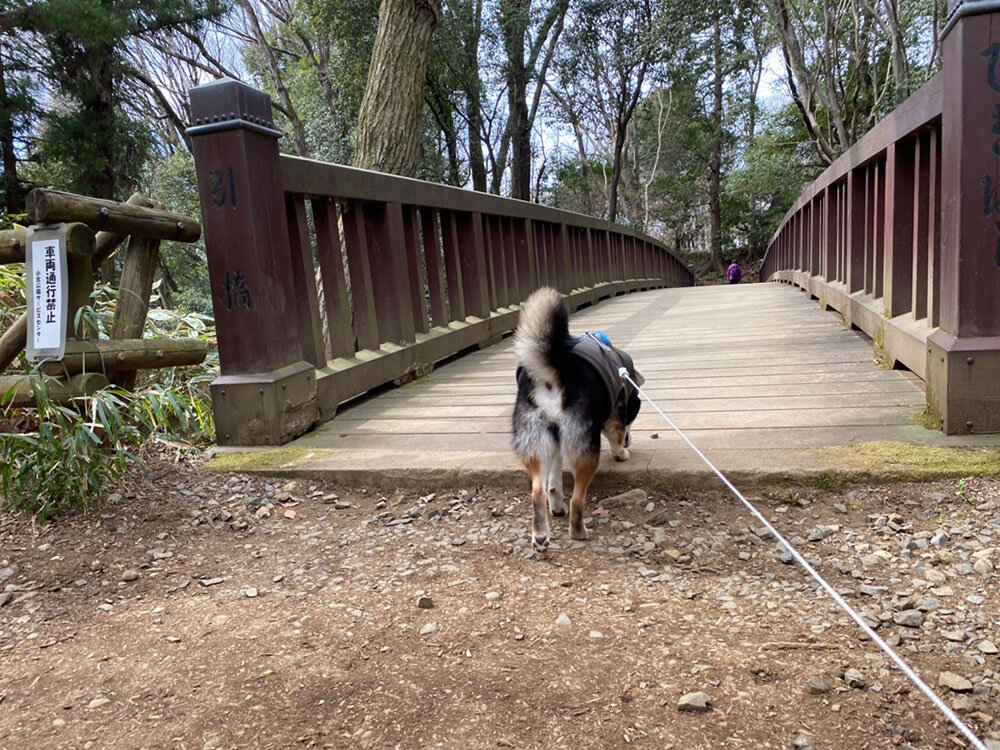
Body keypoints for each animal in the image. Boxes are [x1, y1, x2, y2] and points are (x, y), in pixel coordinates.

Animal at [512, 288, 644, 552]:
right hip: (585, 447)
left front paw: (555, 505)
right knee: (577, 499)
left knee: (538, 491)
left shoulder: (555, 442)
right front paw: (621, 453)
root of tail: (552, 369)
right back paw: (578, 531)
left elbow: (553, 484)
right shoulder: (616, 415)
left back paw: (540, 534)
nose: (629, 441)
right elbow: (615, 434)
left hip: (536, 437)